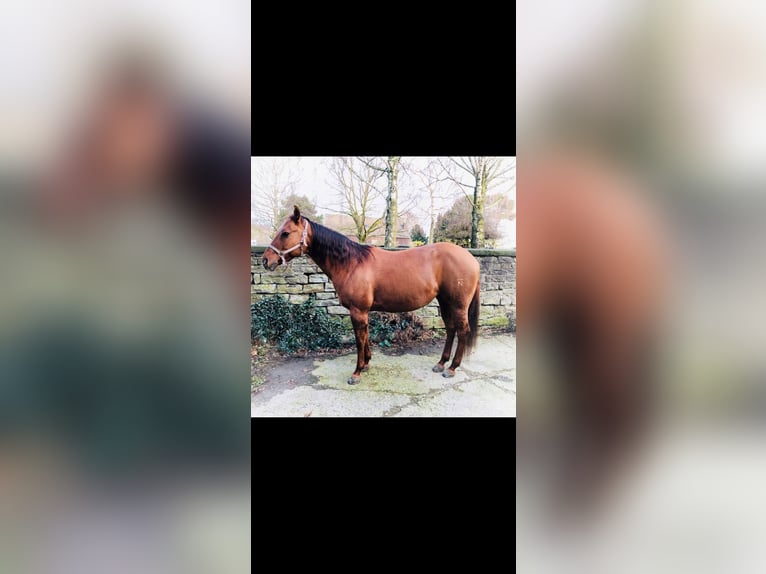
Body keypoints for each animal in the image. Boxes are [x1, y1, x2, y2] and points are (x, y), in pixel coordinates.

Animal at [262, 206, 481, 384]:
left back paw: (452, 368)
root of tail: (471, 259)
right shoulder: (362, 312)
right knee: (451, 329)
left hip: (458, 304)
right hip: (445, 302)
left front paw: (357, 372)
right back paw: (441, 363)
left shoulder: (357, 311)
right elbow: (366, 337)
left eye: (285, 233)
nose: (266, 260)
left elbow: (359, 340)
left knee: (462, 330)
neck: (351, 263)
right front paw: (366, 364)